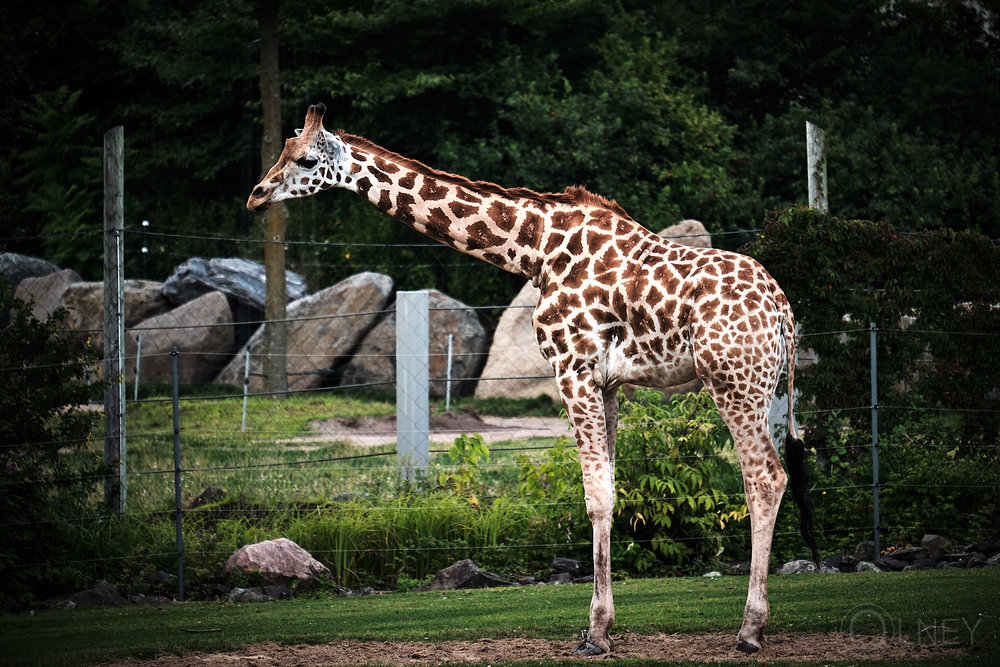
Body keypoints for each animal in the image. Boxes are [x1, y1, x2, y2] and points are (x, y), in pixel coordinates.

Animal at [246, 104, 816, 656]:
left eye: (305, 160)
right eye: (283, 148)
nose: (256, 196)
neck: (536, 249)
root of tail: (784, 311)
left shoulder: (572, 367)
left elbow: (595, 496)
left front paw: (595, 633)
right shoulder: (607, 382)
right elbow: (611, 487)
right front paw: (603, 628)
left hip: (733, 381)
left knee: (765, 477)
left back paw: (749, 631)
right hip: (763, 387)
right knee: (772, 473)